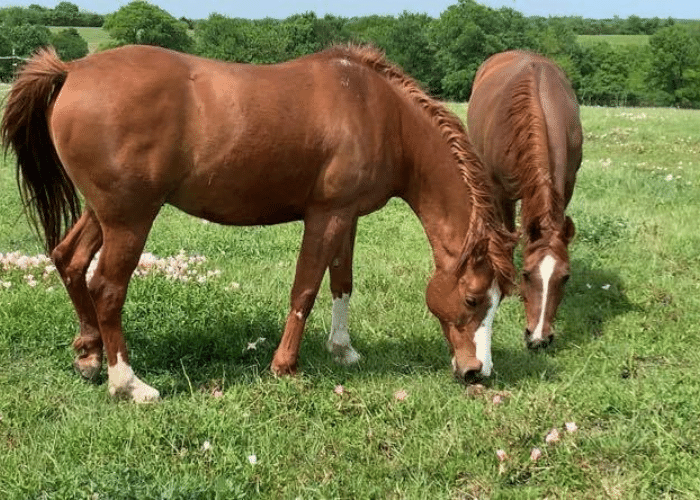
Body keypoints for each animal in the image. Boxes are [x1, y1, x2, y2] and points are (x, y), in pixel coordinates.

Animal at [2, 44, 516, 402]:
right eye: (473, 299)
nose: (477, 373)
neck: (378, 112)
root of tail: (72, 70)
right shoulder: (325, 215)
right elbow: (304, 289)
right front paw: (285, 366)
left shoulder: (347, 216)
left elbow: (342, 283)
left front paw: (343, 350)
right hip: (130, 219)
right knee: (107, 288)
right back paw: (128, 384)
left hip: (103, 212)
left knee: (70, 260)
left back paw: (89, 356)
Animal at [468, 49, 584, 348]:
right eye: (526, 275)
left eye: (565, 277)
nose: (538, 338)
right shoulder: (501, 192)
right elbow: (509, 235)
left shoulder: (567, 186)